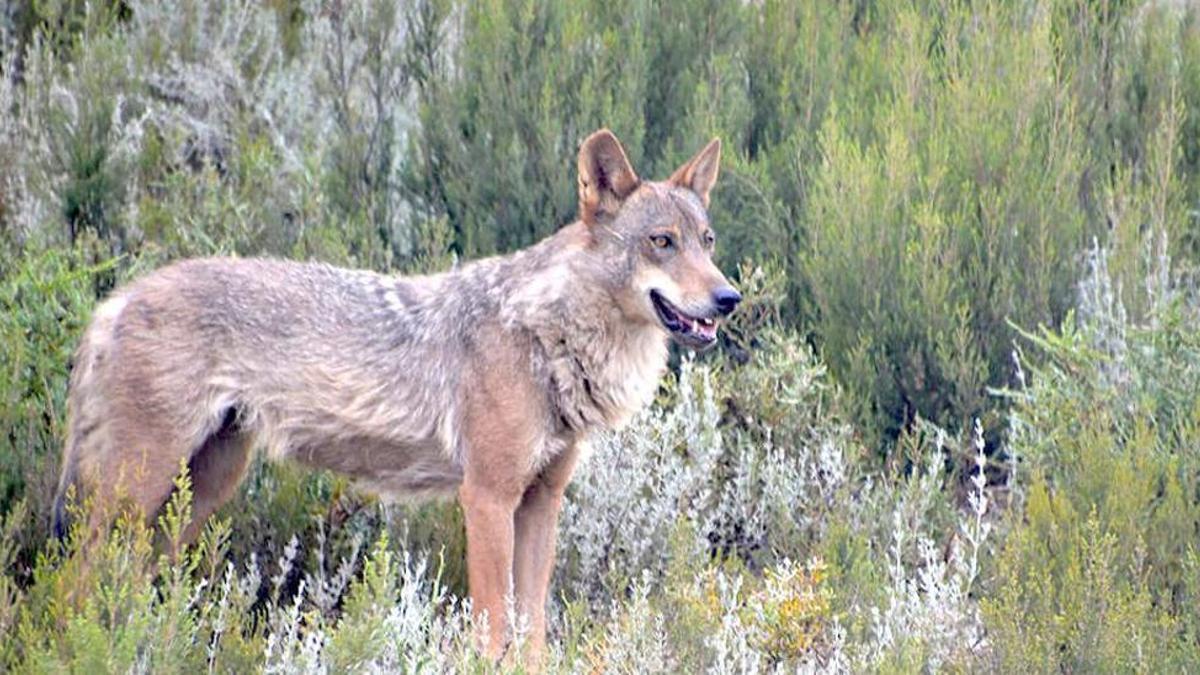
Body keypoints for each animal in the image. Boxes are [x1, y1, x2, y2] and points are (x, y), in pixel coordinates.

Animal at [54, 128, 739, 658]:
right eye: (661, 242)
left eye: (707, 242)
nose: (728, 298)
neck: (552, 337)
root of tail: (114, 301)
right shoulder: (486, 498)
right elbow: (494, 628)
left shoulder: (541, 502)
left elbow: (533, 630)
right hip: (138, 494)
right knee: (75, 582)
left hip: (197, 494)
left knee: (124, 583)